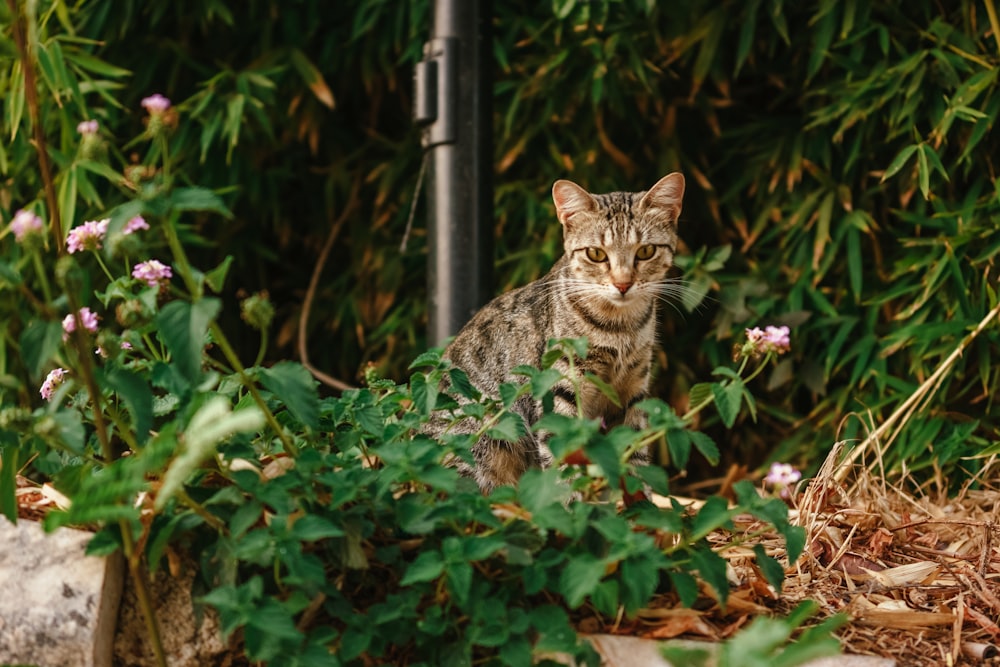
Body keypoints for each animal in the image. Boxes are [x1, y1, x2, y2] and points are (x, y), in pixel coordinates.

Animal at [442, 175, 684, 494]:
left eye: (645, 251)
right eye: (596, 254)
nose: (623, 284)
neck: (620, 327)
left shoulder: (633, 387)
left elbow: (634, 451)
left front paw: (641, 502)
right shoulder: (560, 388)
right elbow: (564, 457)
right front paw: (569, 502)